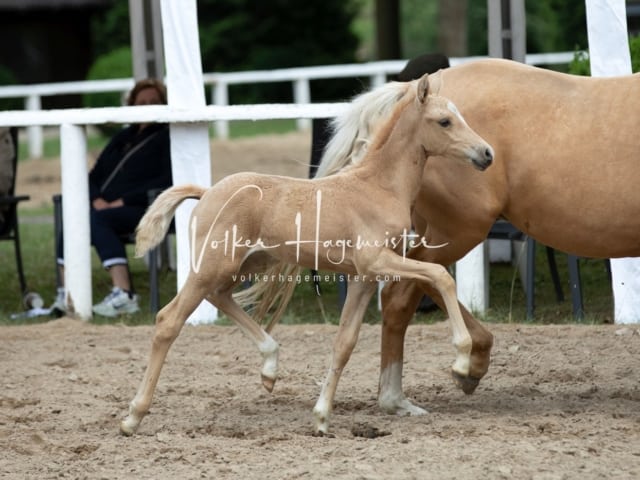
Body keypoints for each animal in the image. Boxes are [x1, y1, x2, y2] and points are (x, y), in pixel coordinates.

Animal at [120, 74, 496, 436]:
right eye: (445, 121)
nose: (487, 154)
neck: (378, 188)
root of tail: (207, 191)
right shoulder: (377, 262)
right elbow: (442, 276)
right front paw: (461, 360)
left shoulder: (363, 277)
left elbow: (345, 343)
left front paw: (321, 418)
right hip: (212, 266)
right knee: (169, 320)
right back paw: (132, 417)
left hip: (245, 264)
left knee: (221, 297)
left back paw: (270, 368)